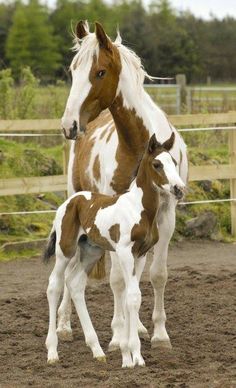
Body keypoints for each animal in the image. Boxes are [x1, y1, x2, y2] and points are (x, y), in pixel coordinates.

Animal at [44, 133, 184, 366]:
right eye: (157, 164)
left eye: (174, 162)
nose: (179, 189)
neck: (138, 208)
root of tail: (69, 201)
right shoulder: (125, 252)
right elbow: (132, 296)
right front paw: (134, 355)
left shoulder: (140, 254)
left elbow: (131, 296)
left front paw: (129, 354)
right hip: (65, 250)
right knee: (54, 285)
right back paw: (52, 352)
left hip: (91, 251)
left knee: (75, 283)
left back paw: (97, 350)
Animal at [57, 20, 188, 354]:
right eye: (73, 70)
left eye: (100, 72)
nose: (69, 125)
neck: (139, 145)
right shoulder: (113, 216)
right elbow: (117, 279)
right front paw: (118, 338)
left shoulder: (165, 215)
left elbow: (156, 275)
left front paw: (158, 334)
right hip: (75, 209)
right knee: (69, 267)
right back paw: (64, 326)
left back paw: (138, 326)